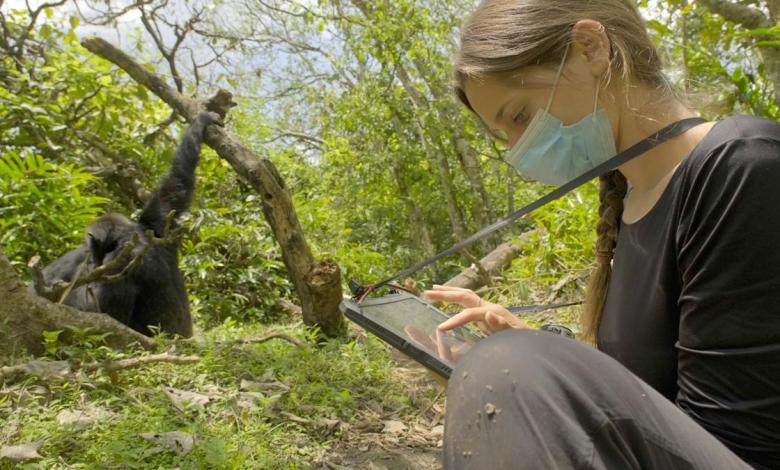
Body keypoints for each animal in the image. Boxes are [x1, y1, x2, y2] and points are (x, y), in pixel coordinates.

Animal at [35, 112, 221, 338]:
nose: (91, 253)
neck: (128, 236)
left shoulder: (120, 262)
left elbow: (100, 314)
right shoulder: (157, 222)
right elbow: (176, 183)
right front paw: (201, 122)